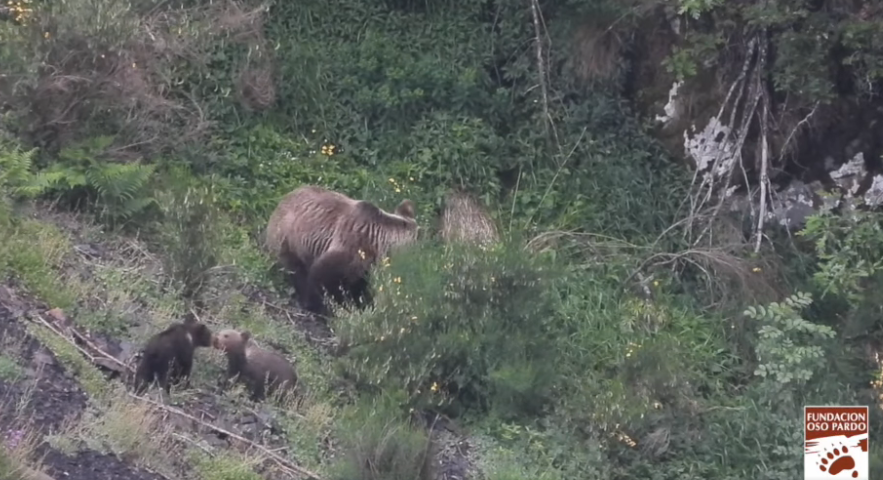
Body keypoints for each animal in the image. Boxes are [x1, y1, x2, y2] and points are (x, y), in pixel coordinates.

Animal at [264, 186, 420, 316]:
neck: (379, 241)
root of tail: (281, 200)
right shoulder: (352, 245)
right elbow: (323, 276)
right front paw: (324, 307)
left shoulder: (366, 265)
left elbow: (361, 286)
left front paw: (363, 305)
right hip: (288, 238)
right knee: (296, 269)